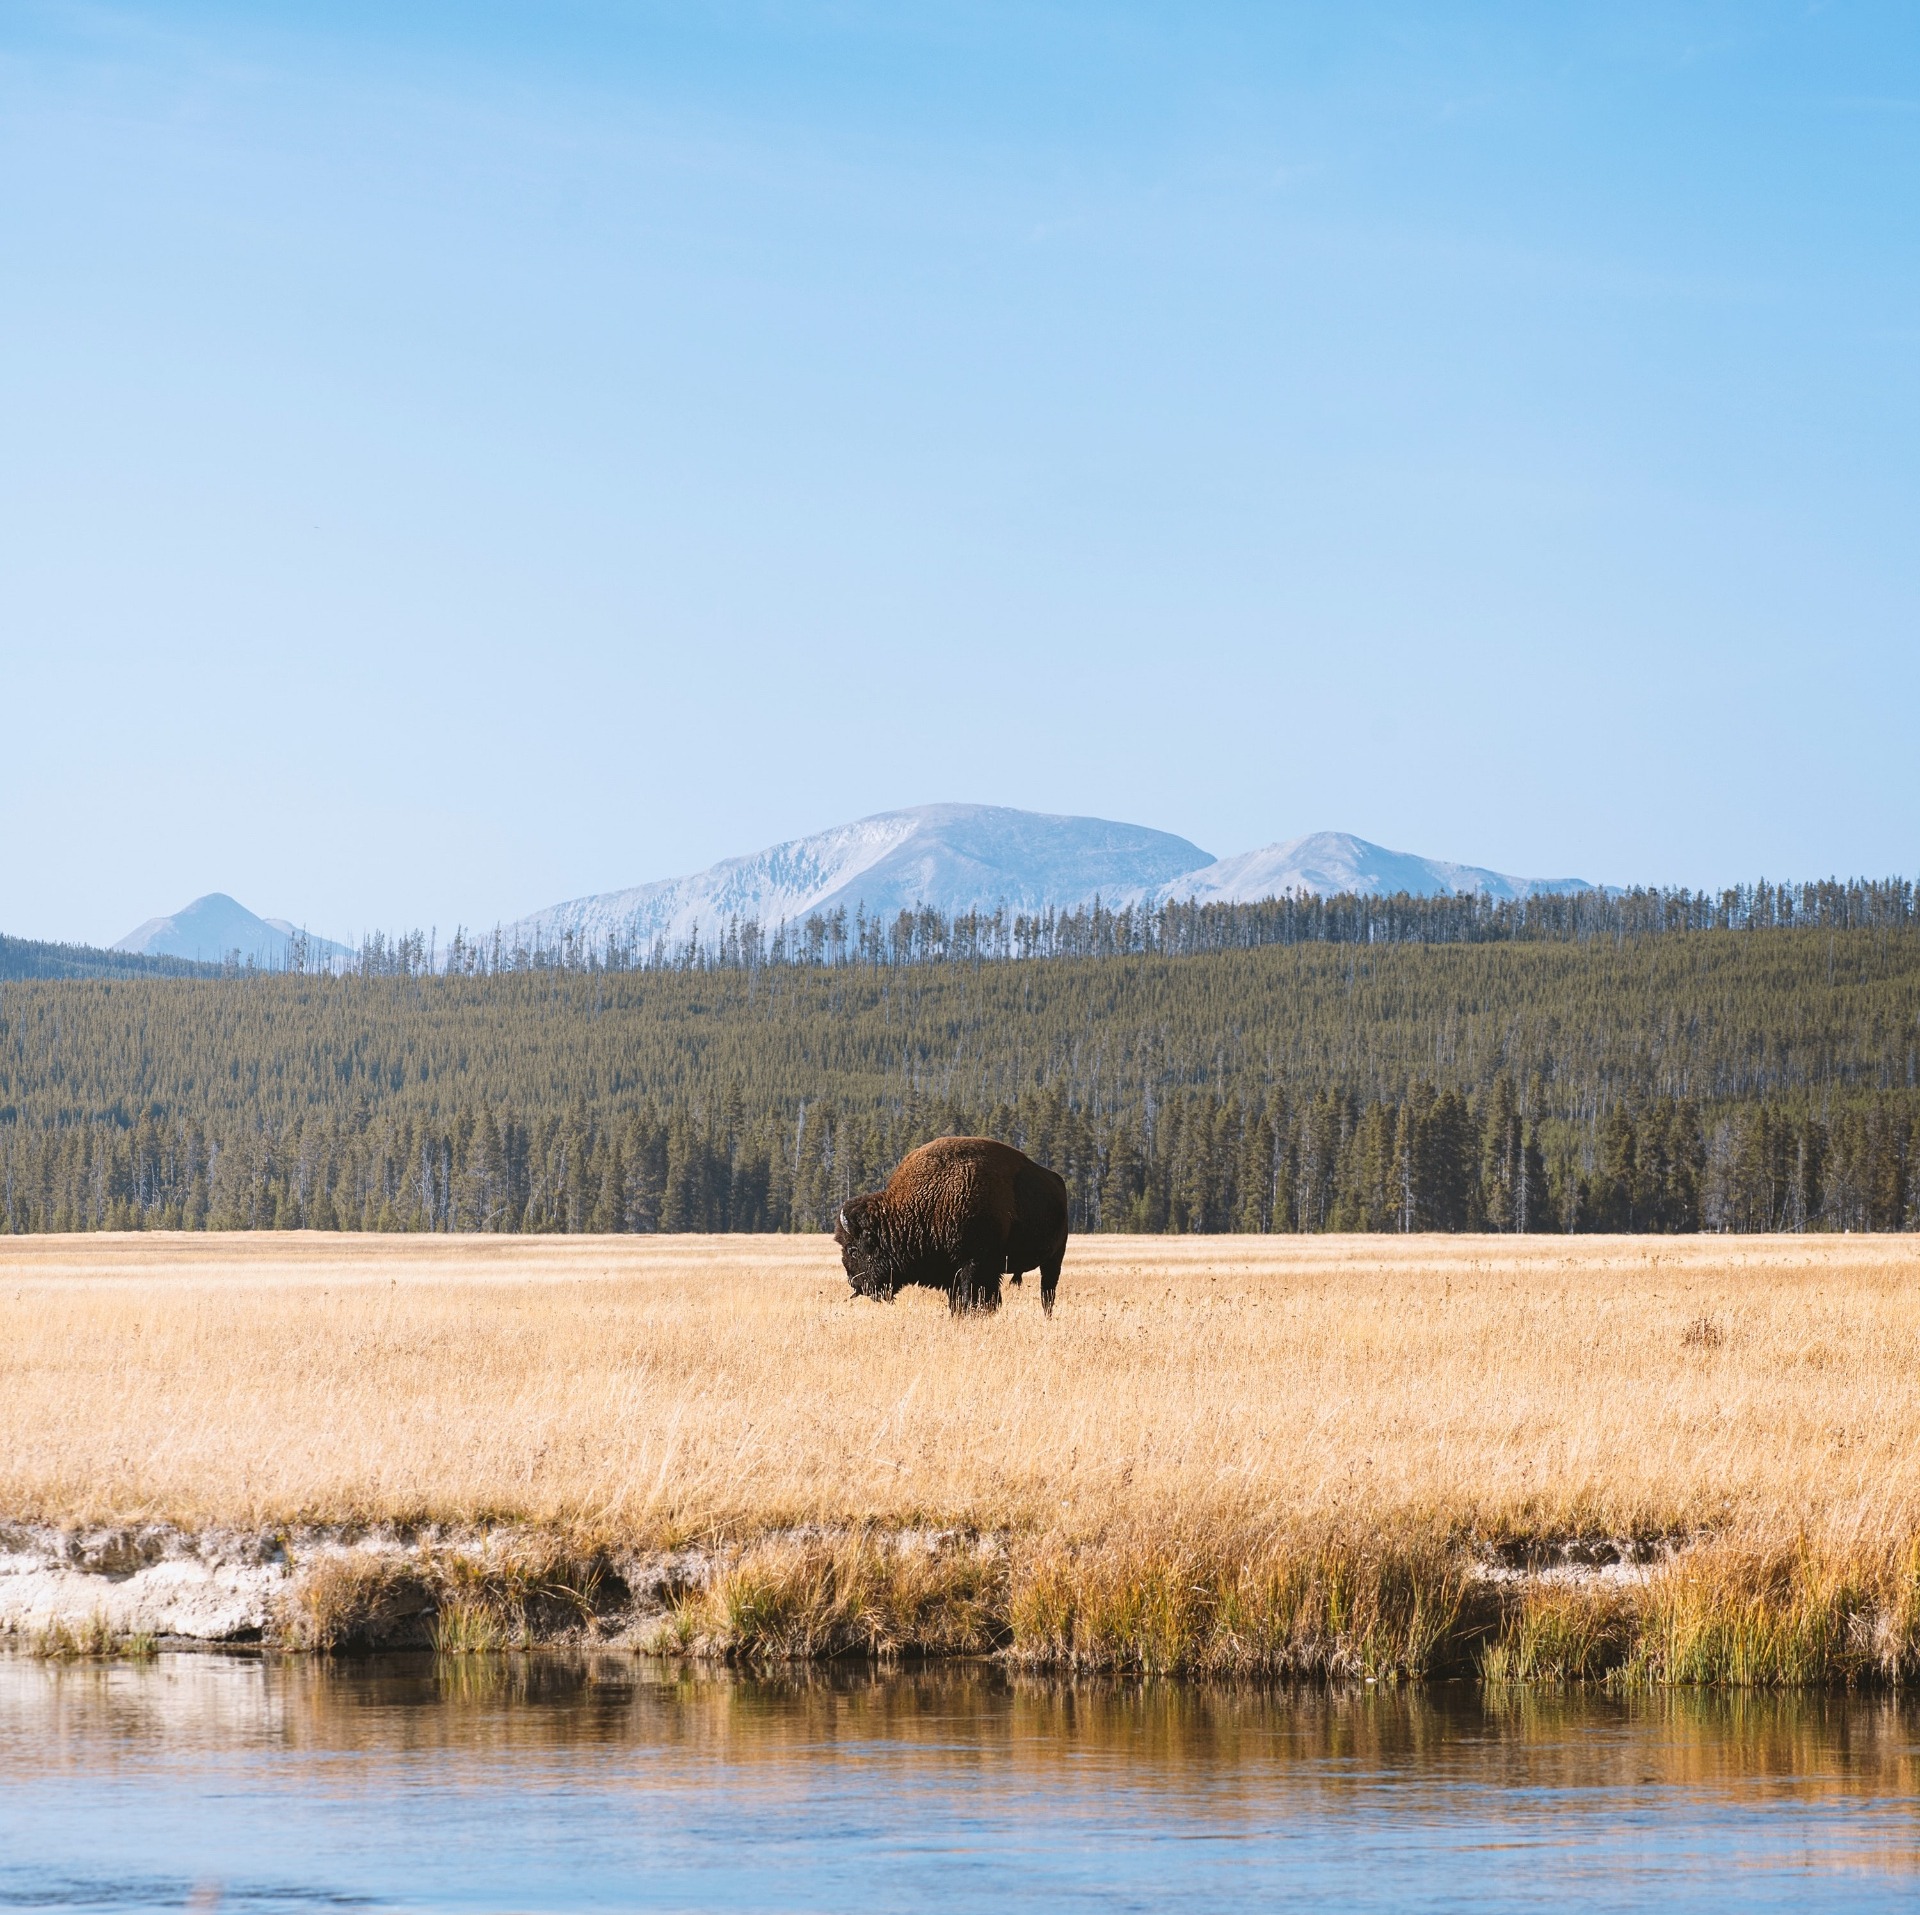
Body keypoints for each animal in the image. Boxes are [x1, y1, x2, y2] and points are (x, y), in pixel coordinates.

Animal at [837, 1137, 1075, 1313]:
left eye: (853, 1249)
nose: (854, 1283)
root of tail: (1057, 1181)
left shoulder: (974, 1265)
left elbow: (974, 1298)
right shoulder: (953, 1272)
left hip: (1054, 1259)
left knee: (1047, 1292)